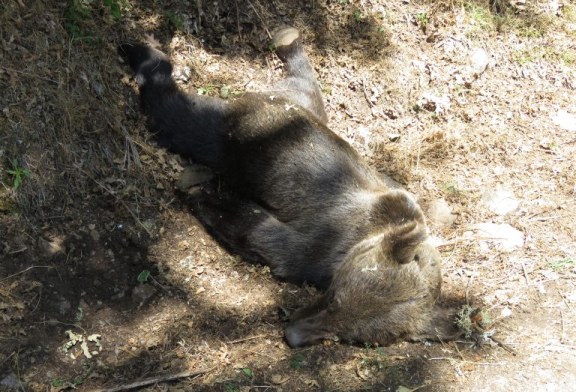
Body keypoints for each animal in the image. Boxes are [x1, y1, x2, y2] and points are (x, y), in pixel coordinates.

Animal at [120, 27, 460, 346]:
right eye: (335, 299)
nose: (294, 335)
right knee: (181, 119)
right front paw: (208, 198)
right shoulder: (331, 235)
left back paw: (288, 42)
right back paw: (143, 56)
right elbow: (270, 241)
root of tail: (270, 99)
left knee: (306, 87)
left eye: (351, 336)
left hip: (296, 107)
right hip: (242, 138)